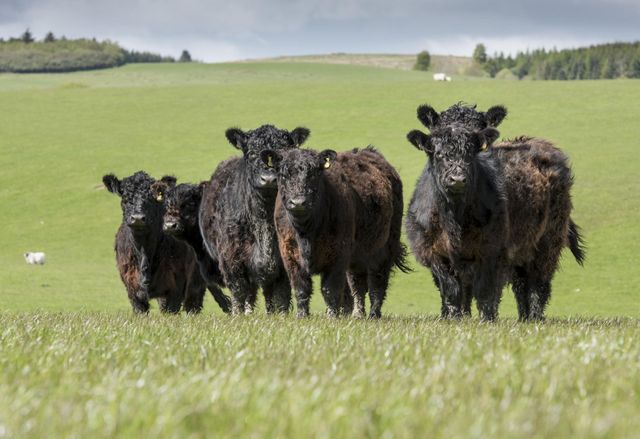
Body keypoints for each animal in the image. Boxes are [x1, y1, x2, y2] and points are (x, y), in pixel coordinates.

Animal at [104, 171, 206, 312]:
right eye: (125, 197)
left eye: (152, 198)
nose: (138, 218)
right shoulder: (132, 290)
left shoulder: (176, 286)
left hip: (196, 282)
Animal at [200, 124, 310, 316]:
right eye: (251, 154)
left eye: (284, 153)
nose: (269, 179)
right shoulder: (232, 260)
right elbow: (238, 292)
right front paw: (238, 316)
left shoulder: (283, 262)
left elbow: (281, 296)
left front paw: (281, 316)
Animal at [262, 148, 408, 320]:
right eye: (283, 174)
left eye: (314, 173)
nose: (298, 202)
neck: (306, 232)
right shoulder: (289, 254)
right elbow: (300, 288)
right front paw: (302, 315)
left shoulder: (339, 254)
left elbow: (330, 289)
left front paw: (332, 317)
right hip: (357, 256)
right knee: (357, 284)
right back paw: (358, 314)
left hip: (385, 247)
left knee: (377, 283)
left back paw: (374, 314)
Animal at [404, 105, 584, 322]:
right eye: (438, 154)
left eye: (472, 151)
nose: (457, 179)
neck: (455, 218)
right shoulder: (433, 251)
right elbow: (451, 291)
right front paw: (454, 318)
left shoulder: (492, 250)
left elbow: (486, 292)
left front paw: (486, 320)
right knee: (521, 284)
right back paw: (523, 318)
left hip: (549, 239)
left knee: (538, 282)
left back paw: (534, 317)